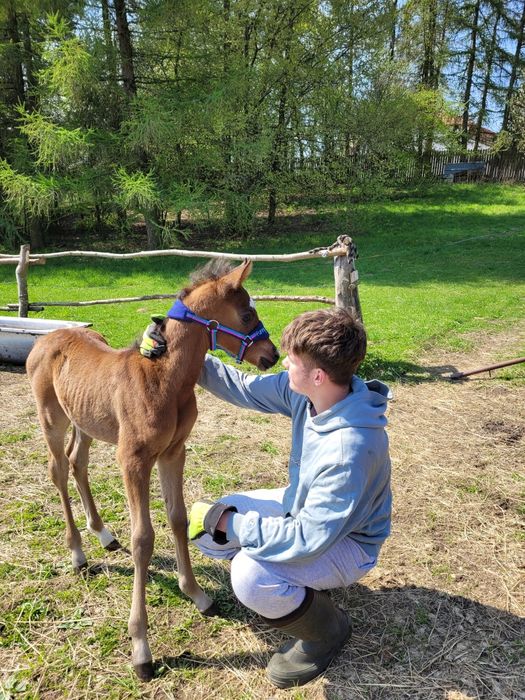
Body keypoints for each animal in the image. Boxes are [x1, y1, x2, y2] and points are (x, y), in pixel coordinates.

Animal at [25, 262, 278, 680]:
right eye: (246, 315)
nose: (271, 355)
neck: (164, 380)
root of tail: (49, 337)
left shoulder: (173, 452)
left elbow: (177, 519)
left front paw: (197, 594)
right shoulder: (133, 460)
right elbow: (143, 539)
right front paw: (141, 649)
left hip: (85, 420)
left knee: (78, 463)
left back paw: (103, 534)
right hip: (52, 418)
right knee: (58, 470)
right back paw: (78, 553)